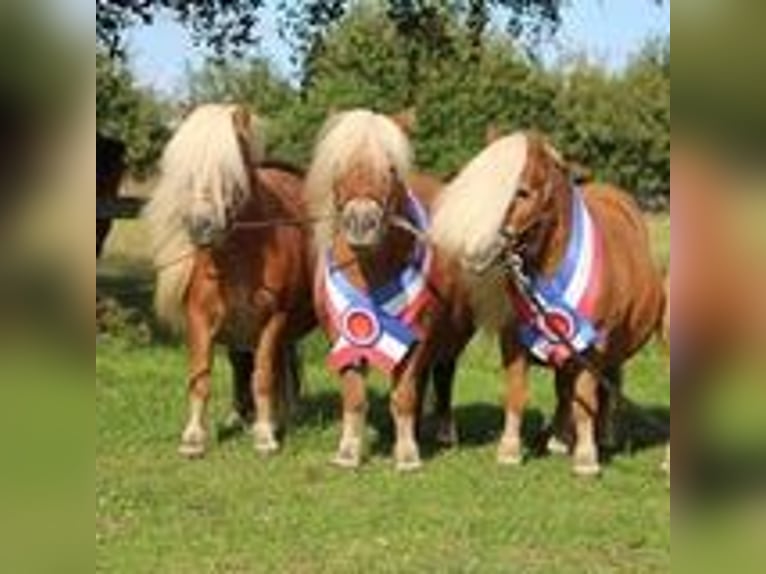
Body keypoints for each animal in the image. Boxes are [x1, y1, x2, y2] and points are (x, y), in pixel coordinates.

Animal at [146, 104, 316, 460]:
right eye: (188, 172)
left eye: (231, 169)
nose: (201, 226)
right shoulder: (200, 318)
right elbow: (201, 376)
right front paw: (194, 437)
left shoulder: (273, 319)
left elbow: (263, 376)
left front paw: (265, 435)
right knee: (243, 365)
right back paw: (242, 415)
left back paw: (280, 415)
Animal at [306, 111, 474, 472]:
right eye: (338, 166)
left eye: (392, 169)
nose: (361, 223)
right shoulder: (341, 337)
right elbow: (355, 395)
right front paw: (348, 452)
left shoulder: (419, 336)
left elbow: (404, 393)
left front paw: (407, 454)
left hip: (455, 333)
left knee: (444, 374)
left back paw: (443, 432)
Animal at [436, 133, 668, 480]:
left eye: (522, 192)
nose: (474, 252)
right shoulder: (515, 339)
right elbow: (518, 393)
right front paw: (509, 450)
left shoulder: (593, 346)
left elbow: (586, 399)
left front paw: (586, 458)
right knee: (565, 387)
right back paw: (559, 438)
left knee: (608, 384)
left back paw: (602, 435)